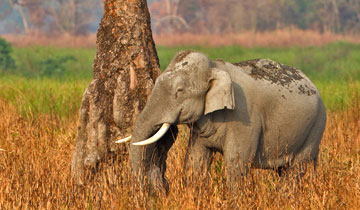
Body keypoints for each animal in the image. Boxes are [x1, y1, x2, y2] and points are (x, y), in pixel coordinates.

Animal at [117, 50, 326, 192]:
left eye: (179, 91)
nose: (157, 190)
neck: (214, 67)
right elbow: (195, 159)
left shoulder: (244, 119)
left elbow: (236, 162)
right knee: (284, 170)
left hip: (315, 128)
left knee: (296, 170)